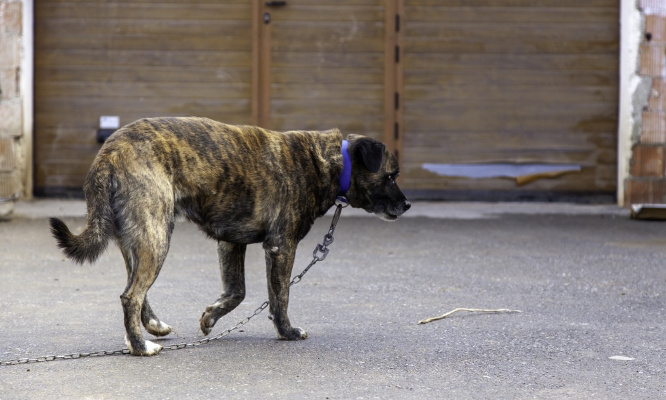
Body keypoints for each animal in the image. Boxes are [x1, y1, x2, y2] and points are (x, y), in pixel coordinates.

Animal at [49, 116, 410, 356]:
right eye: (391, 176)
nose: (407, 204)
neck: (328, 162)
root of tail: (109, 150)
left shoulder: (231, 242)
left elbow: (237, 292)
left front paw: (210, 317)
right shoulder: (281, 246)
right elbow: (280, 296)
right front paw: (287, 331)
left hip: (136, 240)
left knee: (136, 291)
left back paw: (149, 329)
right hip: (157, 235)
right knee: (131, 296)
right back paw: (140, 346)